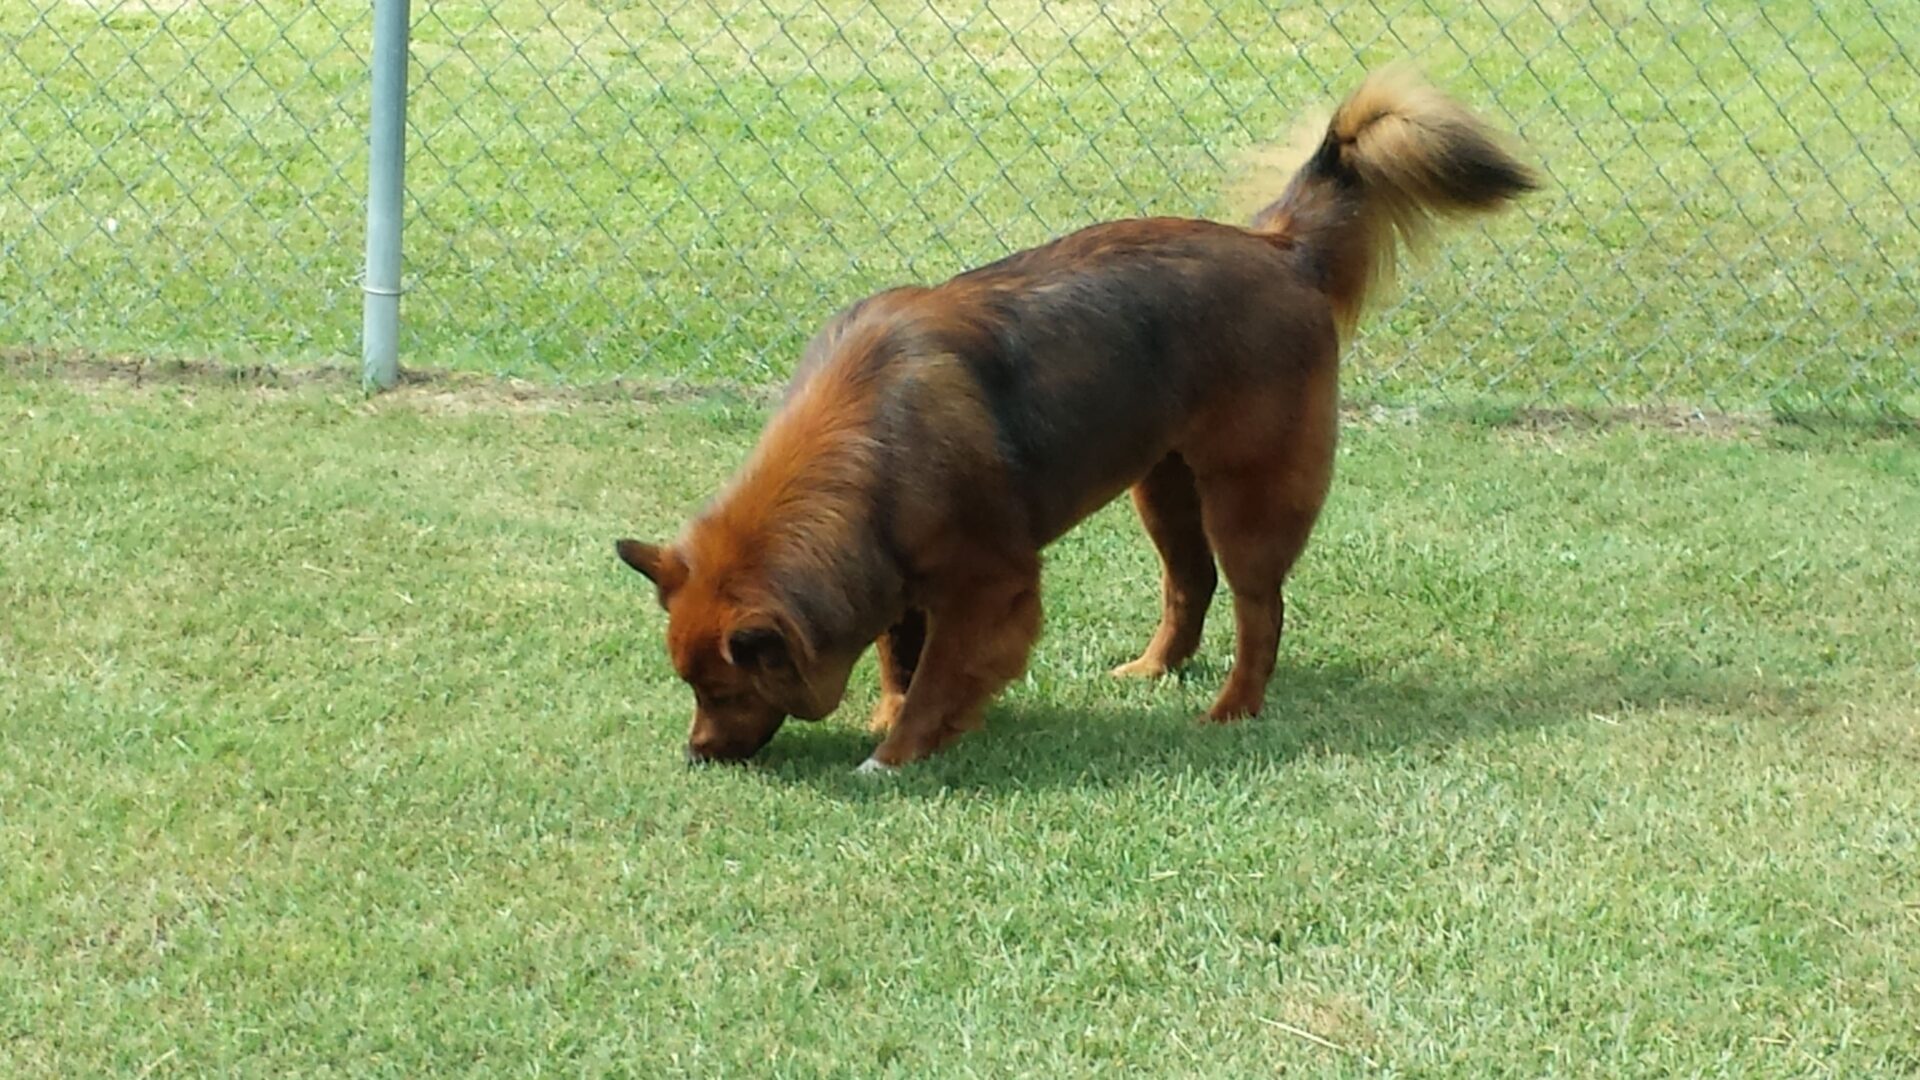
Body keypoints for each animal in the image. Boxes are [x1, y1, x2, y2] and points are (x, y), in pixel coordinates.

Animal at [622, 67, 1536, 768]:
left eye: (721, 687)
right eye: (690, 686)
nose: (696, 754)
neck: (870, 442)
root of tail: (1279, 248)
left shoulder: (990, 585)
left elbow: (938, 677)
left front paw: (895, 752)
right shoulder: (895, 571)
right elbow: (897, 653)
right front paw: (887, 712)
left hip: (1246, 495)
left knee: (1258, 607)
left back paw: (1233, 708)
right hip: (1161, 487)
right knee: (1190, 584)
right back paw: (1153, 670)